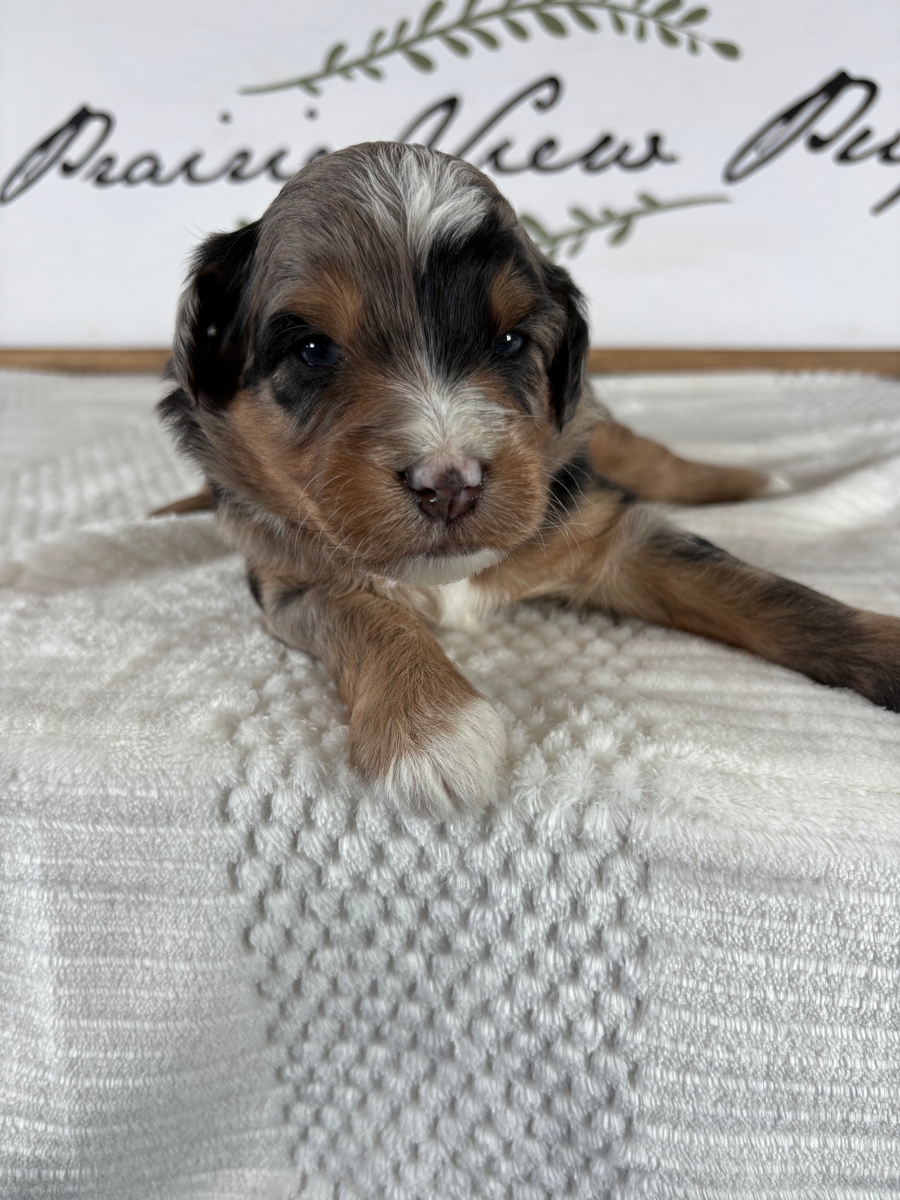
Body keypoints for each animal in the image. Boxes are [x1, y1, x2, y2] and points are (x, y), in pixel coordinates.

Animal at [156, 140, 900, 816]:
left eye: (511, 342)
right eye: (313, 350)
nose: (449, 484)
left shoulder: (609, 531)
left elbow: (770, 595)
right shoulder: (287, 577)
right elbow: (364, 611)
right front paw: (432, 732)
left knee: (653, 455)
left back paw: (752, 480)